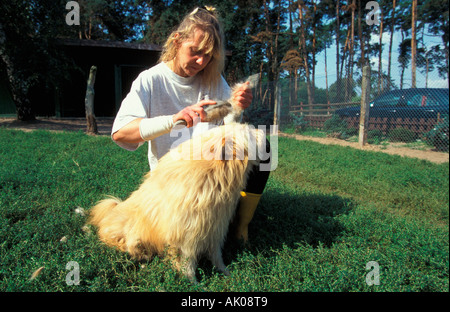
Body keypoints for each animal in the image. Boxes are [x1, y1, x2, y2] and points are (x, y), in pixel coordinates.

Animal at [88, 123, 264, 282]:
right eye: (249, 133)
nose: (263, 132)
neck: (212, 176)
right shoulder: (185, 236)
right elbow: (188, 263)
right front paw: (193, 283)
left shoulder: (215, 228)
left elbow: (216, 255)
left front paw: (225, 272)